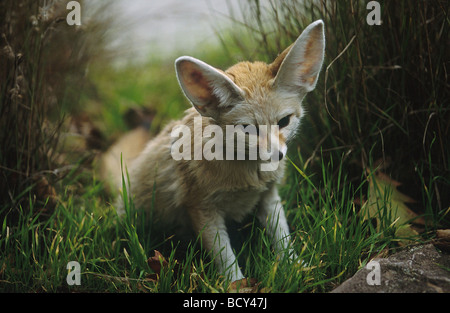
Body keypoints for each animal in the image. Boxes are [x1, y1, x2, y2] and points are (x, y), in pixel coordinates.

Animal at [114, 21, 326, 280]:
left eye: (284, 121)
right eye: (248, 129)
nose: (278, 156)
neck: (248, 177)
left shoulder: (269, 195)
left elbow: (282, 237)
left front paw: (295, 267)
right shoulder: (202, 208)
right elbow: (225, 256)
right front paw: (237, 284)